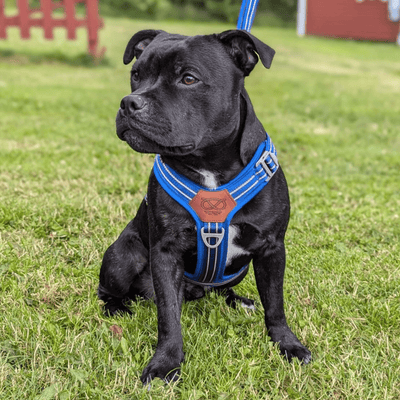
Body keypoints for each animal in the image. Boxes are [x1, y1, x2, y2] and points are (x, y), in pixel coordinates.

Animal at [98, 28, 310, 384]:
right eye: (136, 75)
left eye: (189, 78)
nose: (129, 102)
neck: (210, 165)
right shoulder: (165, 252)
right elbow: (168, 317)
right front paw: (165, 363)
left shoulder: (271, 249)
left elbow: (275, 303)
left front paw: (287, 344)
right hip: (122, 255)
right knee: (108, 289)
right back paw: (118, 308)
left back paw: (238, 301)